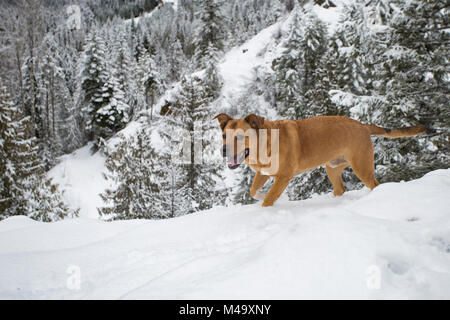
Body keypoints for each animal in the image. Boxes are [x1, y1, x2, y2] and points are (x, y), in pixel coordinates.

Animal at [214, 115, 426, 208]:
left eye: (240, 137)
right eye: (224, 136)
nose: (223, 151)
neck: (265, 143)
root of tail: (362, 125)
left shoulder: (284, 176)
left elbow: (269, 198)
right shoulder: (263, 172)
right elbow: (253, 191)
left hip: (361, 166)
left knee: (374, 184)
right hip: (332, 168)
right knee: (340, 189)